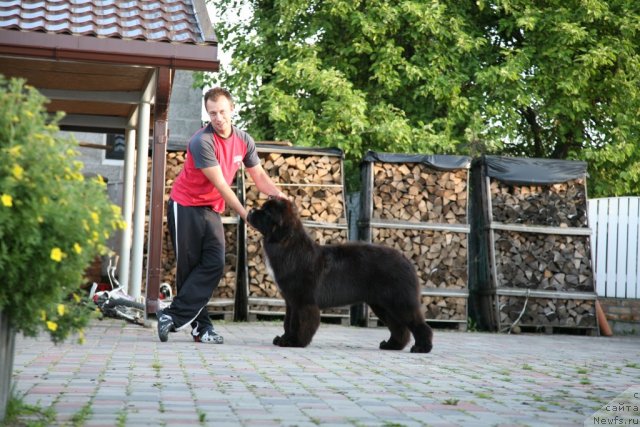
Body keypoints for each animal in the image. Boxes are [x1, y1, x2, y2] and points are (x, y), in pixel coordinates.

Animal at [248, 199, 432, 352]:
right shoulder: (291, 301)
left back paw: (422, 347)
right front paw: (284, 339)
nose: (250, 210)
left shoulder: (303, 301)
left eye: (266, 212)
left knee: (418, 325)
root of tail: (406, 260)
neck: (288, 246)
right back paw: (392, 345)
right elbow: (288, 322)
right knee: (399, 327)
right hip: (382, 304)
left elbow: (298, 323)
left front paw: (295, 342)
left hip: (399, 301)